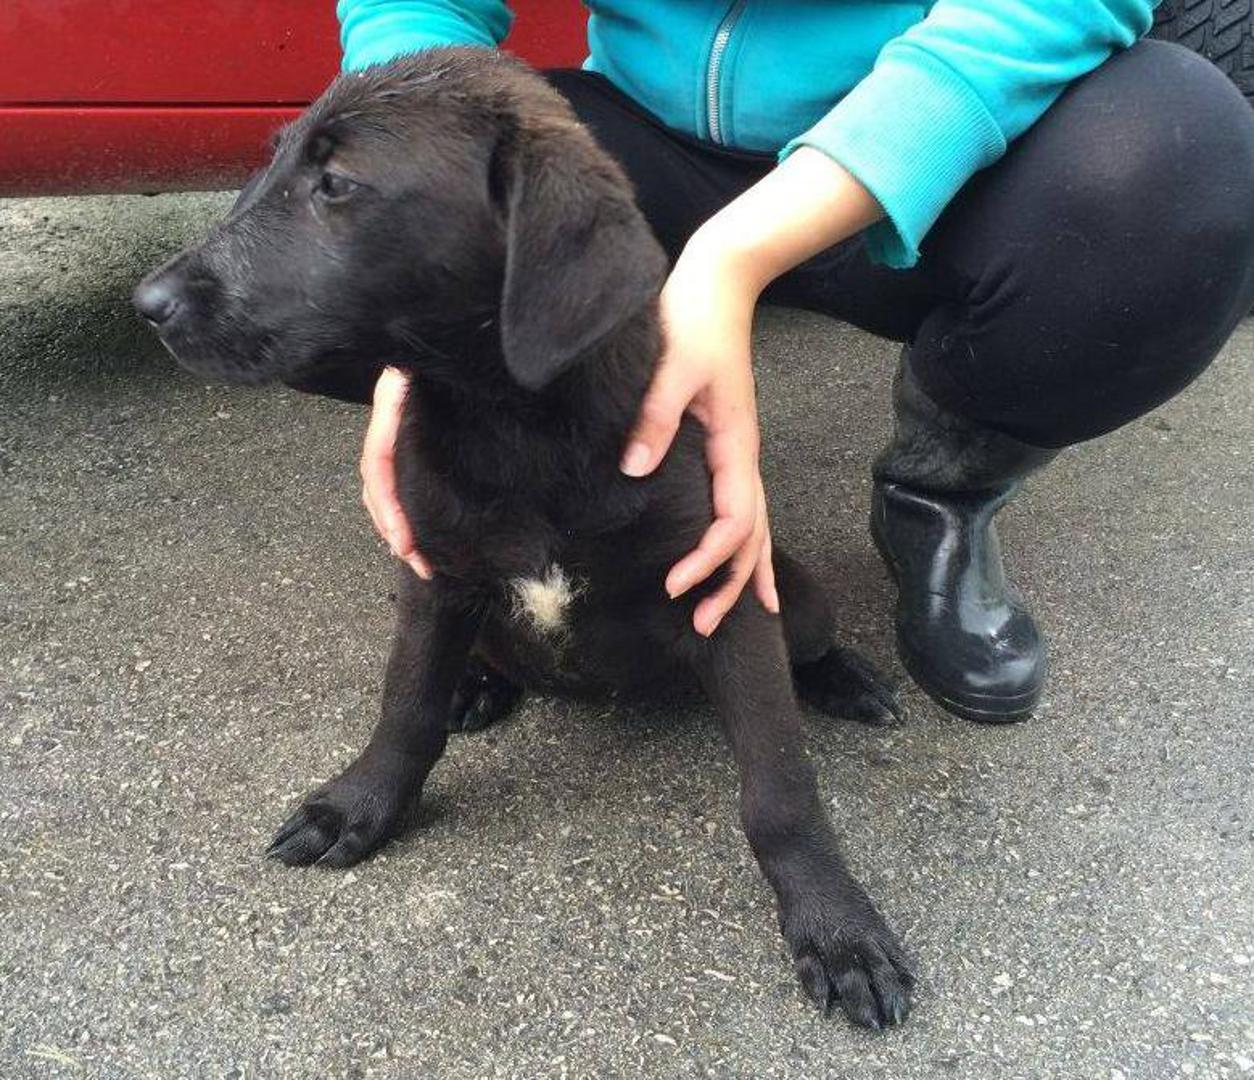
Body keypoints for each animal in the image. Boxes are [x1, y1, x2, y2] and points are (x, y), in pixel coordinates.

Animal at [133, 49, 915, 1029]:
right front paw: (360, 804)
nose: (146, 304)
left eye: (337, 184)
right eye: (269, 165)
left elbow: (779, 789)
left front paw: (837, 927)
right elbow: (405, 706)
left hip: (787, 589)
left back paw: (845, 678)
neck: (513, 424)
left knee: (807, 645)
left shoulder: (723, 592)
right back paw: (476, 686)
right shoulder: (433, 577)